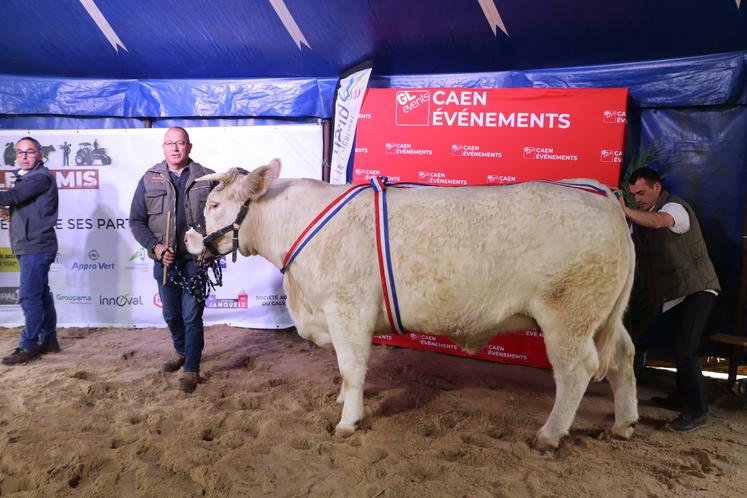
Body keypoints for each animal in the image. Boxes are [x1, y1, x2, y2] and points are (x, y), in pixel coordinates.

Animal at [186, 160, 636, 452]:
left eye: (214, 206)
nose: (189, 241)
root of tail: (603, 194)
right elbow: (345, 368)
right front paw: (343, 401)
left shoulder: (346, 308)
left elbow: (351, 367)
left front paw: (348, 422)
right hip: (603, 315)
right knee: (622, 357)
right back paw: (624, 424)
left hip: (569, 312)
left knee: (577, 369)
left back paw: (549, 435)